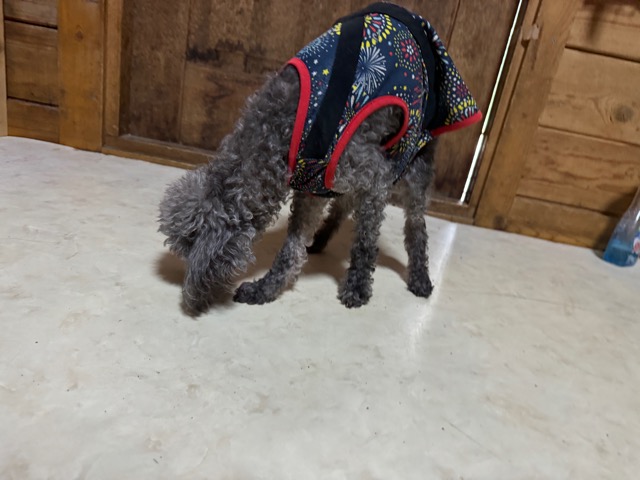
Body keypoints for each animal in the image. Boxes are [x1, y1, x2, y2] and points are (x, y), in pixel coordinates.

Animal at [158, 3, 482, 314]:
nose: (191, 296)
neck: (279, 131)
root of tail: (415, 16)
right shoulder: (312, 189)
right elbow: (292, 248)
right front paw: (267, 289)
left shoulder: (374, 176)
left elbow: (365, 242)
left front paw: (358, 286)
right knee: (344, 204)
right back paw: (323, 238)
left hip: (414, 161)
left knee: (416, 225)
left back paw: (420, 276)